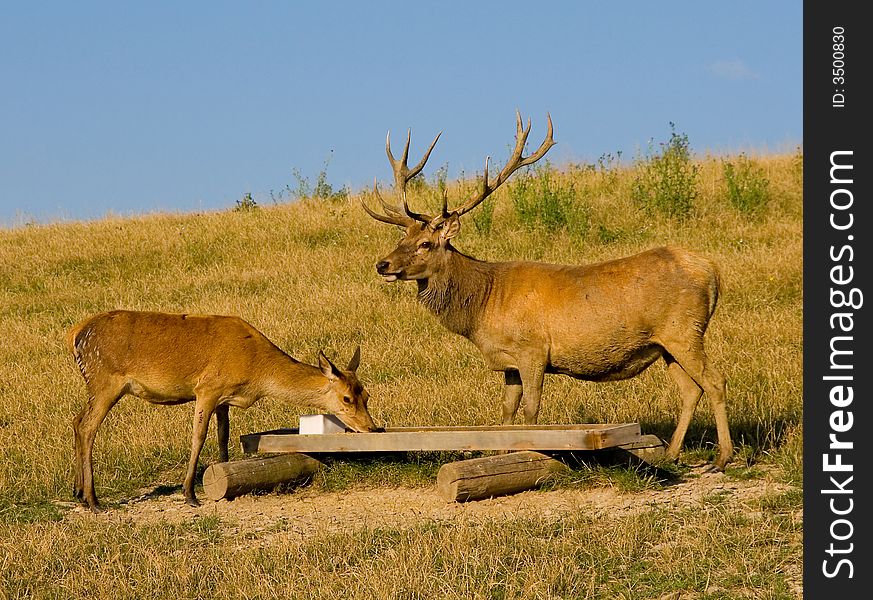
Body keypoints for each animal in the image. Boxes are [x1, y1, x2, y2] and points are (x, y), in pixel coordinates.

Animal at [67, 310, 374, 510]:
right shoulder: (207, 388)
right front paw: (190, 494)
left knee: (76, 419)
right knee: (88, 425)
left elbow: (223, 436)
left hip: (95, 384)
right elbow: (198, 437)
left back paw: (78, 491)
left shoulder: (225, 399)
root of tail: (75, 334)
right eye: (347, 398)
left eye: (367, 394)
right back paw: (94, 500)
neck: (257, 372)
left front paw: (224, 476)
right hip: (105, 379)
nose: (371, 427)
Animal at [358, 112, 732, 468]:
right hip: (665, 342)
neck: (484, 305)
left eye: (425, 243)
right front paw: (501, 453)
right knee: (690, 390)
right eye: (402, 238)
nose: (382, 264)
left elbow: (531, 409)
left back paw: (723, 457)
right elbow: (507, 412)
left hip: (684, 329)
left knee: (715, 381)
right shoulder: (508, 363)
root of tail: (712, 271)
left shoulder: (533, 350)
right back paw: (672, 453)